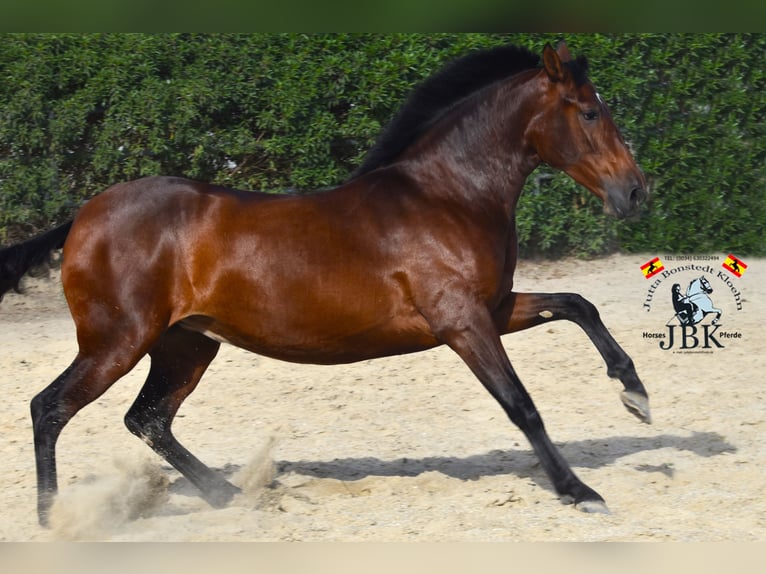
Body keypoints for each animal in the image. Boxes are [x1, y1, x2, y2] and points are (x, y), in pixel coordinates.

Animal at [0, 40, 652, 528]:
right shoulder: (462, 322)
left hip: (187, 343)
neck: (448, 196)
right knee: (50, 407)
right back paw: (53, 518)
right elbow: (522, 405)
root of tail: (82, 217)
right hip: (118, 341)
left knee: (148, 418)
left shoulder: (491, 309)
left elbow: (578, 304)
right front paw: (580, 491)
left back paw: (232, 494)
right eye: (589, 112)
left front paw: (635, 393)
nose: (635, 193)